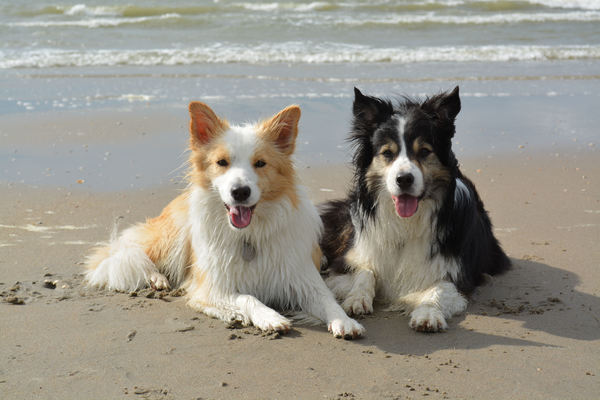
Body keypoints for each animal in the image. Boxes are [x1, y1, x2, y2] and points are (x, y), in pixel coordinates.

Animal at [84, 102, 366, 338]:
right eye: (221, 162)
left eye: (260, 163)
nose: (240, 192)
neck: (249, 235)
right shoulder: (211, 287)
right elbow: (247, 298)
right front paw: (269, 316)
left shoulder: (300, 276)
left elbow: (328, 300)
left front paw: (344, 321)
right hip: (173, 236)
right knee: (134, 253)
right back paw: (156, 278)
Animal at [322, 86, 508, 332]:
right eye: (387, 153)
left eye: (425, 151)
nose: (404, 179)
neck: (407, 223)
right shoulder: (349, 259)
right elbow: (365, 271)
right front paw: (356, 298)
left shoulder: (458, 275)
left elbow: (438, 288)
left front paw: (428, 313)